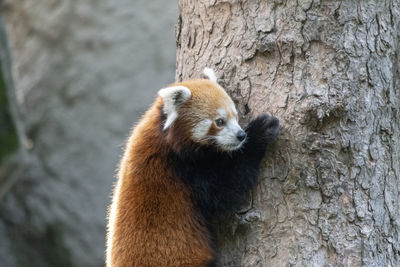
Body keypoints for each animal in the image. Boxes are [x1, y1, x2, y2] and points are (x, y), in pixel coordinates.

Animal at [108, 69, 280, 267]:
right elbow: (224, 191)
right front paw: (260, 132)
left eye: (236, 116)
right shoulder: (182, 169)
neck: (164, 135)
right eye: (220, 121)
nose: (241, 135)